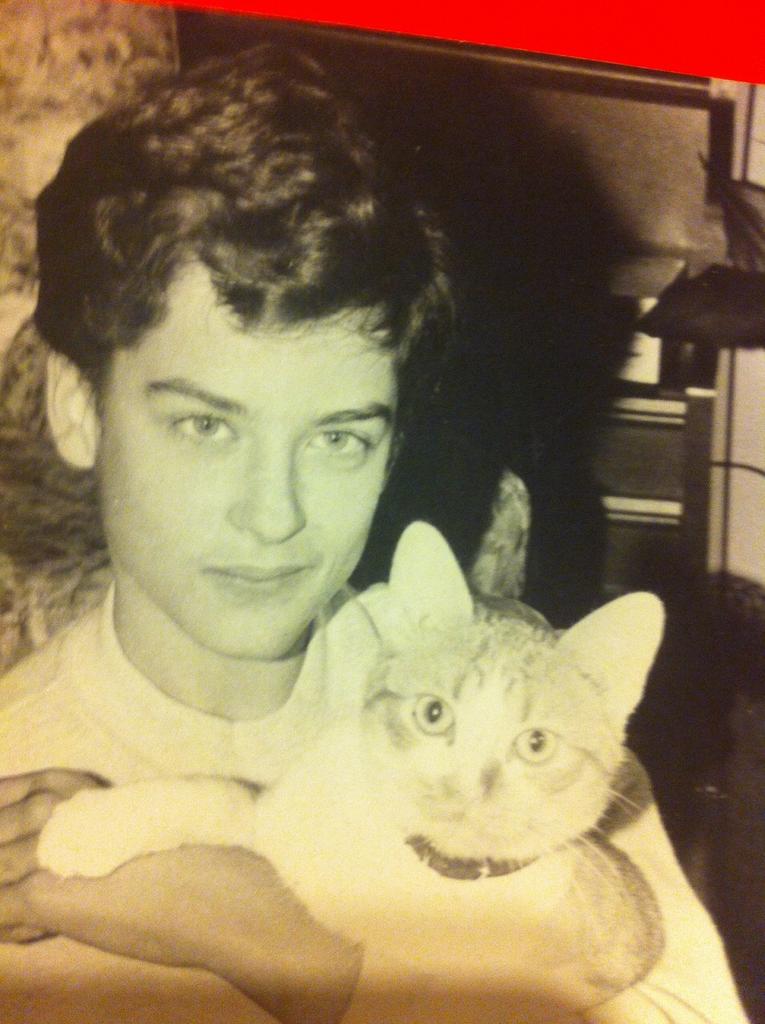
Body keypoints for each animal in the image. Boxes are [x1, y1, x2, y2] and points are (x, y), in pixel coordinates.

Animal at [38, 521, 666, 1023]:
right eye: (433, 713)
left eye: (535, 744)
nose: (468, 787)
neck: (415, 872)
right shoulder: (282, 821)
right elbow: (215, 793)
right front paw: (93, 824)